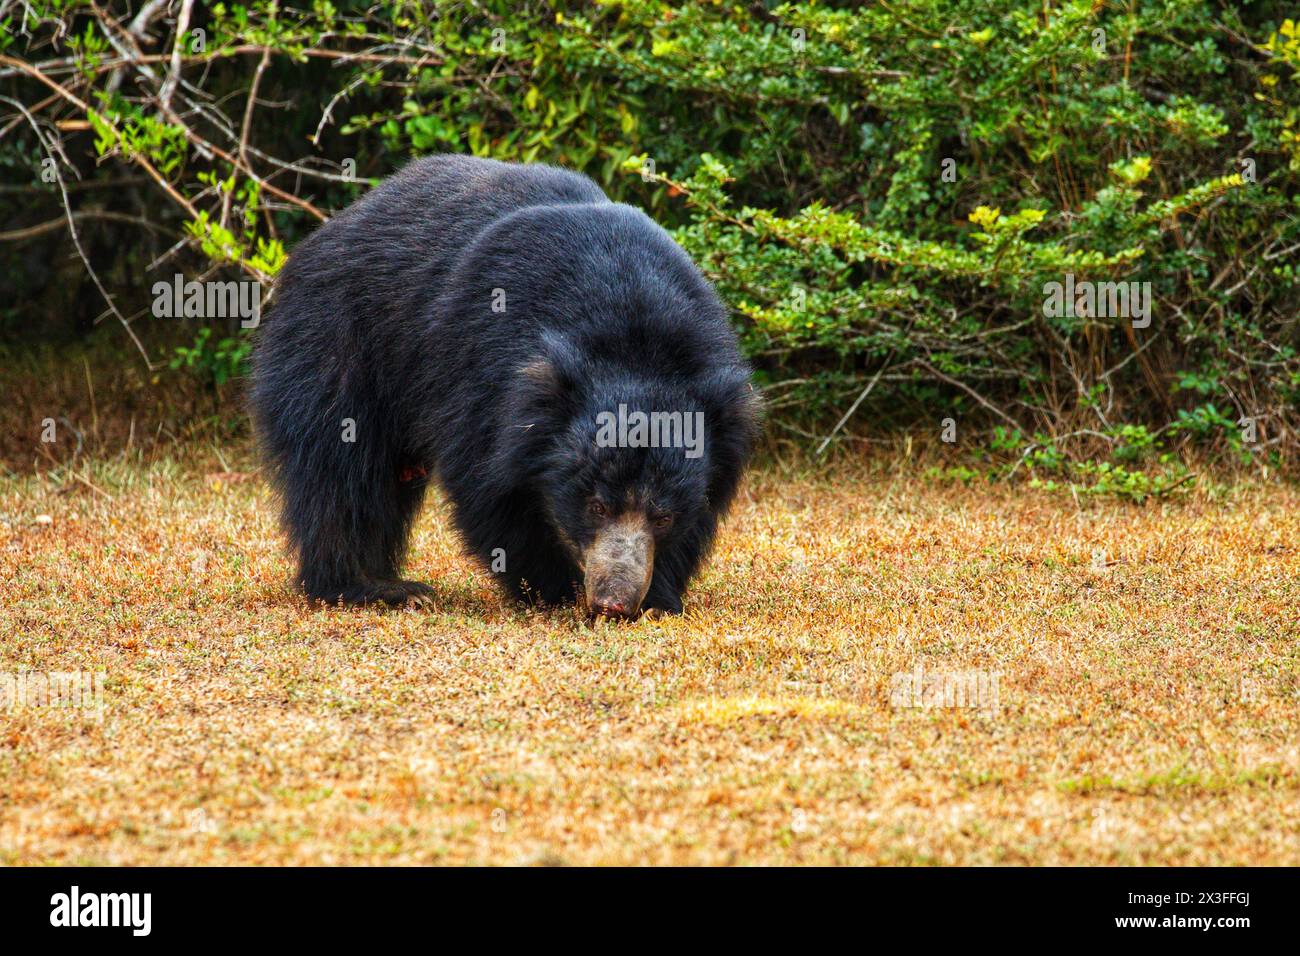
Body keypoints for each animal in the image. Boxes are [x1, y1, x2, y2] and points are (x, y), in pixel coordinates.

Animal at [252, 155, 759, 621]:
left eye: (663, 516)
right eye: (596, 506)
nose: (613, 602)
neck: (632, 335)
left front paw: (658, 598)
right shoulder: (484, 370)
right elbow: (490, 486)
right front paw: (558, 591)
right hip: (338, 341)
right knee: (341, 467)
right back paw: (370, 587)